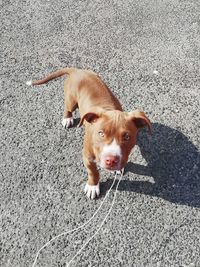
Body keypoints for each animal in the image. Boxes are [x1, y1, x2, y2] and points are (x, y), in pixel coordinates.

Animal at [27, 68, 152, 200]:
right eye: (101, 133)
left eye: (127, 137)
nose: (111, 160)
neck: (109, 109)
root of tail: (77, 70)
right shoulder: (87, 156)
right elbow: (93, 172)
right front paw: (93, 186)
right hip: (71, 100)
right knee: (68, 108)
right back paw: (67, 118)